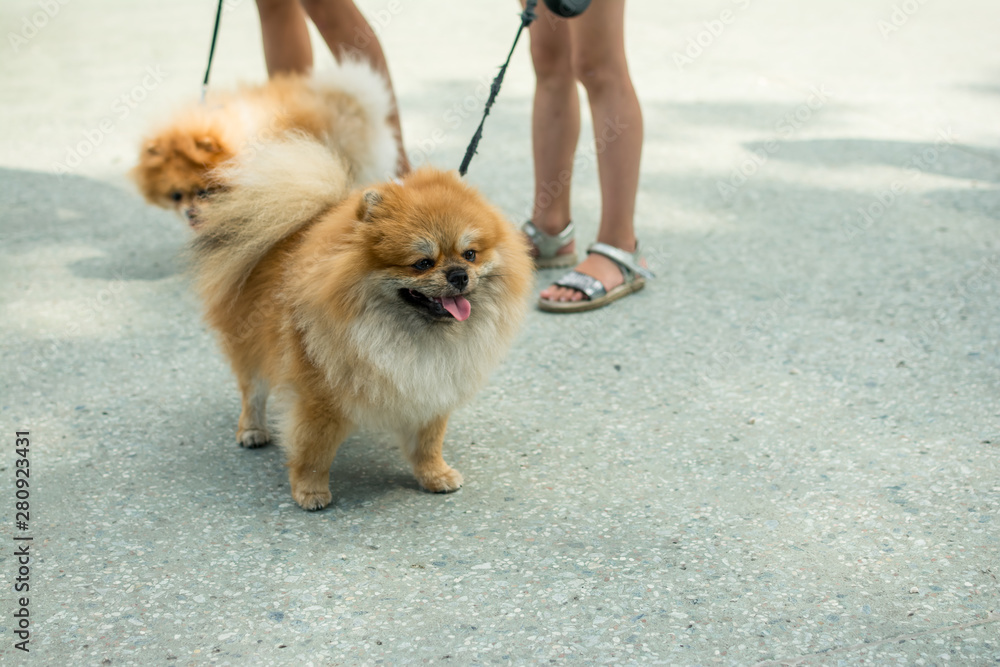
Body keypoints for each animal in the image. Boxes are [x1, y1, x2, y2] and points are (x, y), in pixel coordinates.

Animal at [189, 136, 533, 510]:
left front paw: (435, 475)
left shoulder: (431, 388)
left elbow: (428, 442)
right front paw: (310, 491)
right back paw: (252, 430)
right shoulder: (319, 397)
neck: (407, 334)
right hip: (249, 345)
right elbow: (313, 448)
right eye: (422, 263)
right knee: (252, 390)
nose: (458, 275)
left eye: (470, 254)